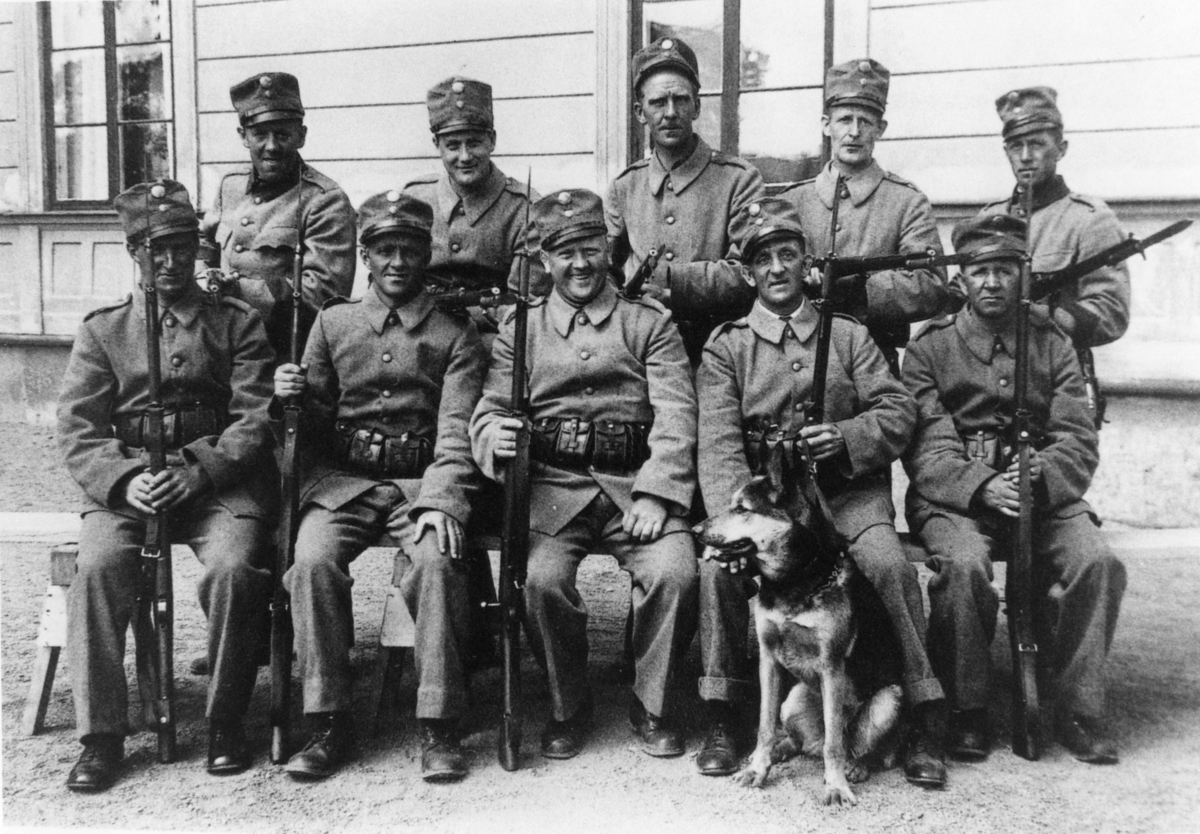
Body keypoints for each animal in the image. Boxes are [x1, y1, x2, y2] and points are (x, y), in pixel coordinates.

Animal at [694, 454, 904, 806]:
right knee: (800, 742)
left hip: (888, 700)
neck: (795, 580)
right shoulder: (769, 661)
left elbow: (835, 743)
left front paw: (835, 787)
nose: (695, 530)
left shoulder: (832, 668)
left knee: (851, 744)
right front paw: (757, 769)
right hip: (791, 701)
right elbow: (764, 725)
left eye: (742, 508)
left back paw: (855, 767)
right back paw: (777, 752)